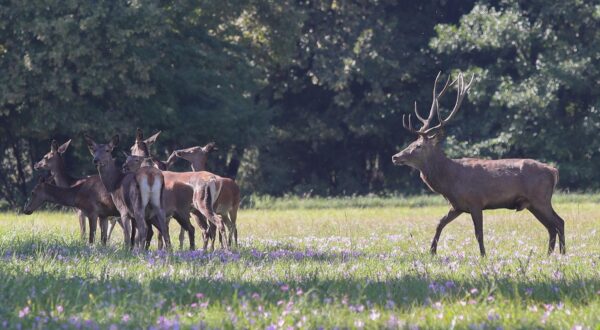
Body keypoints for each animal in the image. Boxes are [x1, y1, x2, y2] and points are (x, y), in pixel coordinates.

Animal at [392, 72, 564, 256]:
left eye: (418, 146)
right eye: (411, 142)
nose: (395, 157)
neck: (449, 181)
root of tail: (554, 171)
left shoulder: (476, 201)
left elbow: (478, 232)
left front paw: (483, 255)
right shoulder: (457, 205)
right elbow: (440, 223)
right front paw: (432, 252)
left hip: (540, 198)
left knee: (559, 222)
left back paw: (562, 254)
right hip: (533, 203)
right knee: (551, 226)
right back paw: (549, 255)